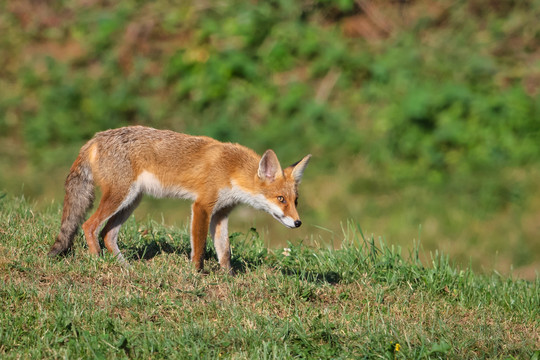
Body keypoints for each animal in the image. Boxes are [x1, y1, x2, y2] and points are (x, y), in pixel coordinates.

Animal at [49, 125, 312, 272]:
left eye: (295, 201)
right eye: (281, 199)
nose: (298, 222)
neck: (231, 169)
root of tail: (94, 139)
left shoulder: (222, 212)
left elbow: (224, 250)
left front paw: (228, 276)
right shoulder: (202, 205)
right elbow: (200, 246)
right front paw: (197, 273)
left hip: (131, 201)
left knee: (107, 234)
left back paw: (125, 267)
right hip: (119, 197)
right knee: (89, 226)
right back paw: (98, 261)